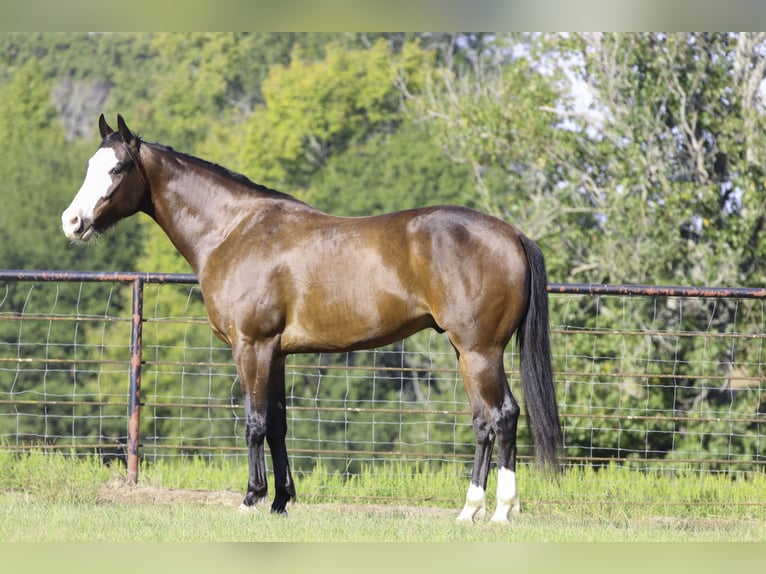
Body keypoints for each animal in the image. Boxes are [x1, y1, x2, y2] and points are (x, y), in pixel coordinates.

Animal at [61, 114, 562, 523]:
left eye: (117, 169)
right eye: (87, 165)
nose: (72, 222)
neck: (233, 230)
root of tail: (511, 234)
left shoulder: (252, 346)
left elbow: (254, 423)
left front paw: (251, 498)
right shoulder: (277, 353)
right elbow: (278, 425)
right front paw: (281, 501)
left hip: (480, 351)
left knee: (502, 416)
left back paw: (498, 512)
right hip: (467, 352)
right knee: (484, 422)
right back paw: (471, 511)